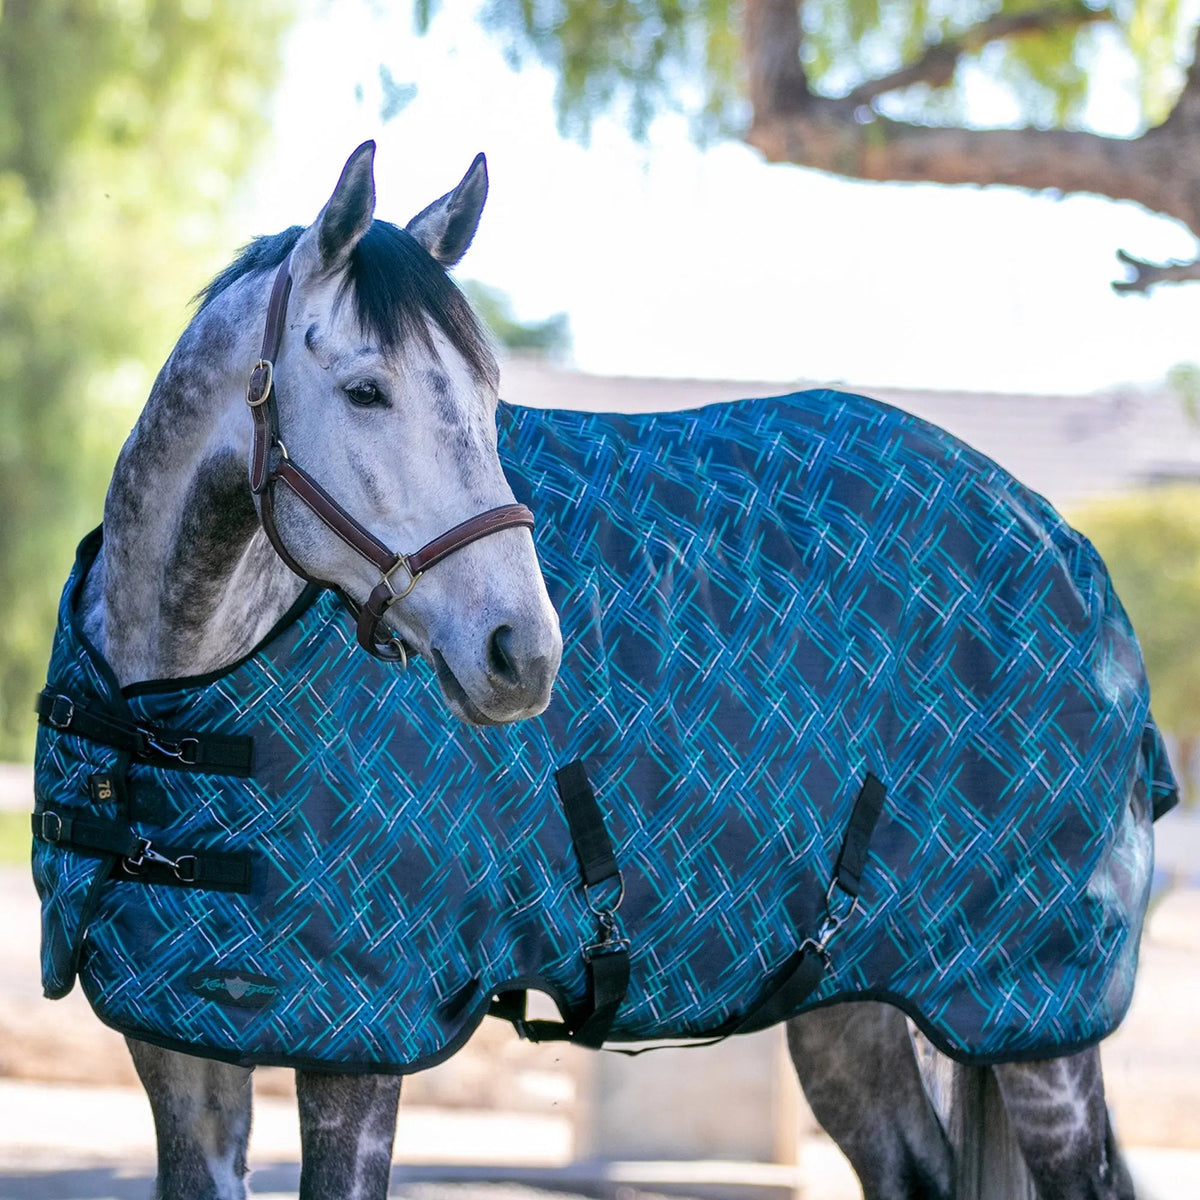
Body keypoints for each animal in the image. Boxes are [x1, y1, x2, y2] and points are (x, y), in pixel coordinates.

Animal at [39, 142, 1148, 1200]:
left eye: (490, 399)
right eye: (364, 390)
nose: (523, 651)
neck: (169, 699)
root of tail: (1063, 541)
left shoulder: (357, 1040)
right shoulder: (181, 1040)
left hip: (1036, 1015)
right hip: (852, 999)